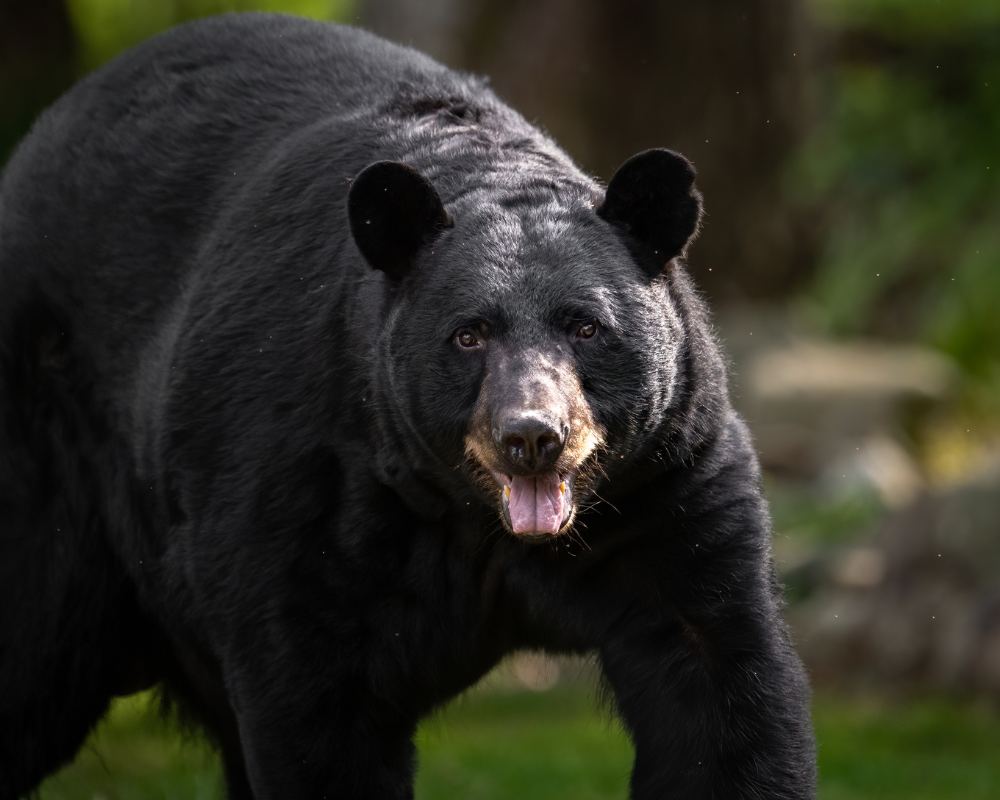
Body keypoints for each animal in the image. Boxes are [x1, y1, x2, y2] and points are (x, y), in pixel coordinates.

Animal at [0, 12, 816, 800]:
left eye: (586, 326)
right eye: (468, 334)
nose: (532, 437)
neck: (477, 518)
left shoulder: (664, 484)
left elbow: (718, 685)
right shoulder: (306, 488)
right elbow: (316, 709)